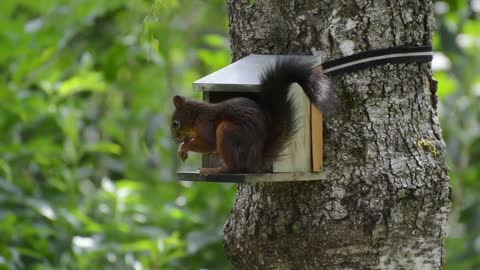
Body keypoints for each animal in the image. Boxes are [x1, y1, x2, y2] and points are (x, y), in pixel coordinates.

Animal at [172, 56, 338, 175]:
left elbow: (209, 142)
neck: (195, 116)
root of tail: (256, 163)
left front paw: (184, 146)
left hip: (228, 132)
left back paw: (217, 170)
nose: (175, 140)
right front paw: (181, 149)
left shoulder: (205, 122)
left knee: (235, 168)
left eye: (175, 124)